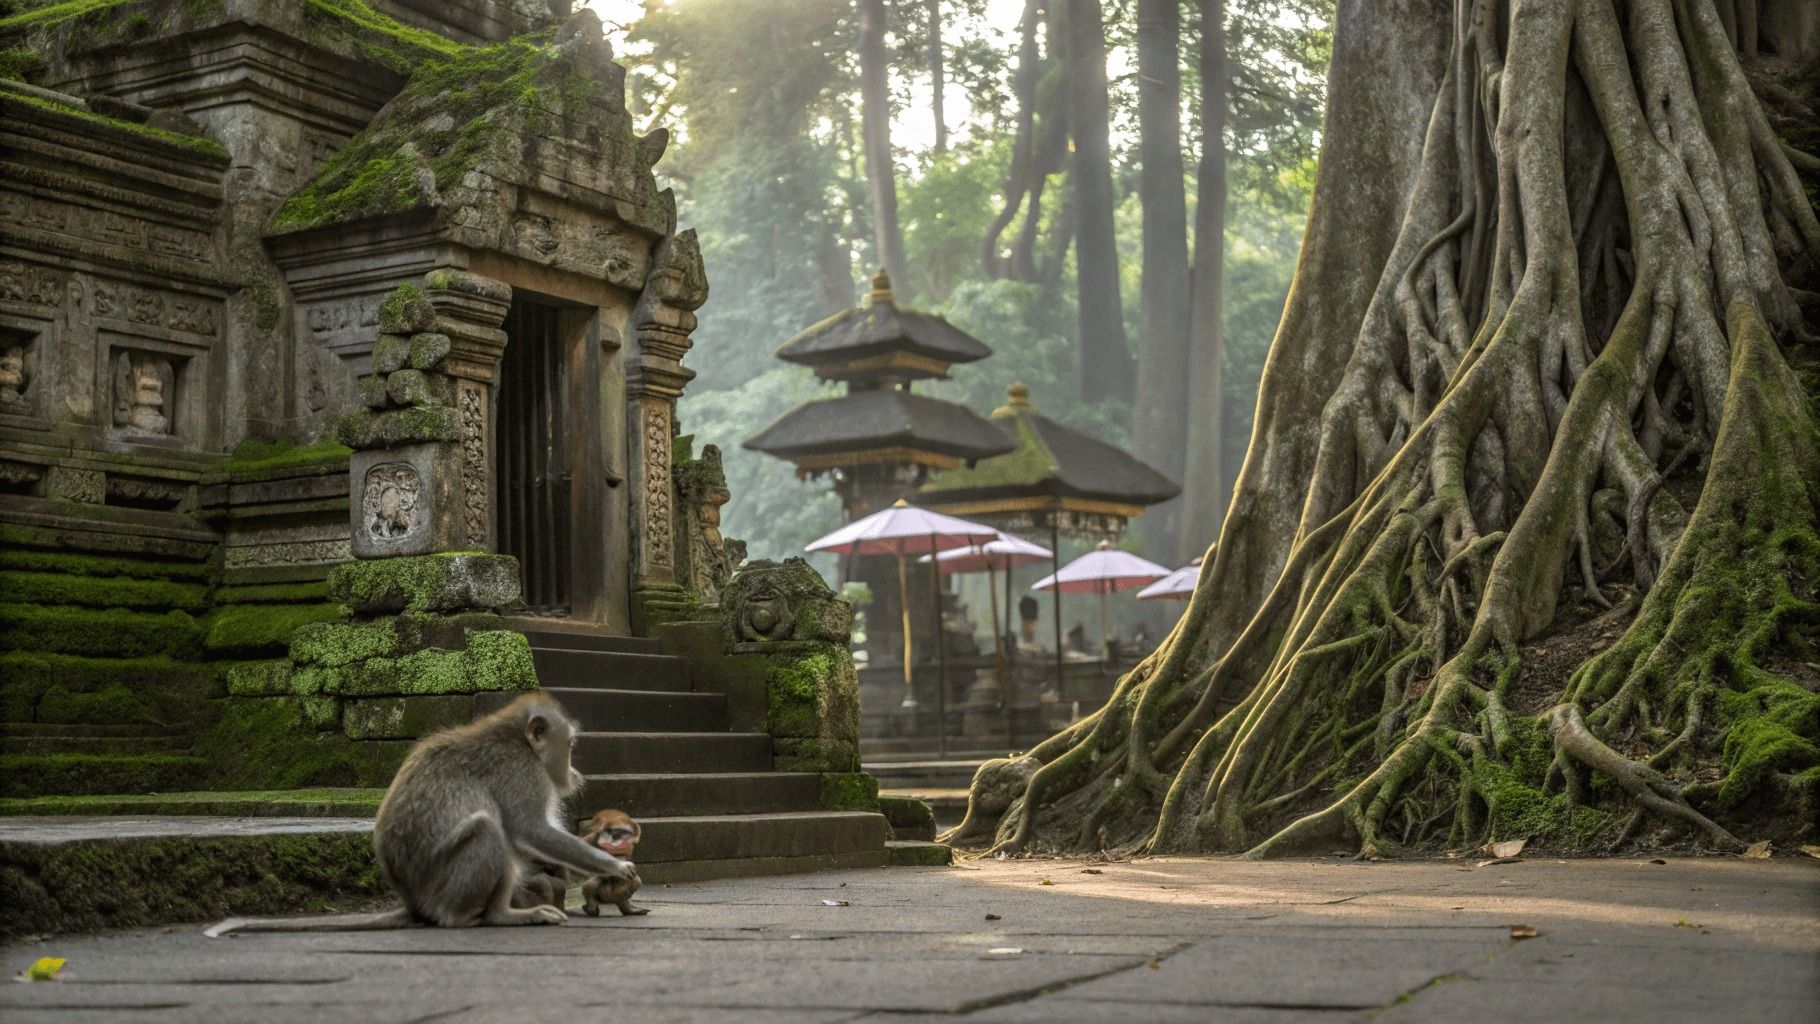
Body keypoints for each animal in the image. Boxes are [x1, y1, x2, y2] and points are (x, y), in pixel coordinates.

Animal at [204, 693, 636, 936]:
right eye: (571, 746)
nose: (575, 772)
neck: (519, 739)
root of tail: (412, 902)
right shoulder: (521, 773)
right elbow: (529, 831)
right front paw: (611, 865)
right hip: (443, 889)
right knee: (487, 830)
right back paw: (495, 916)